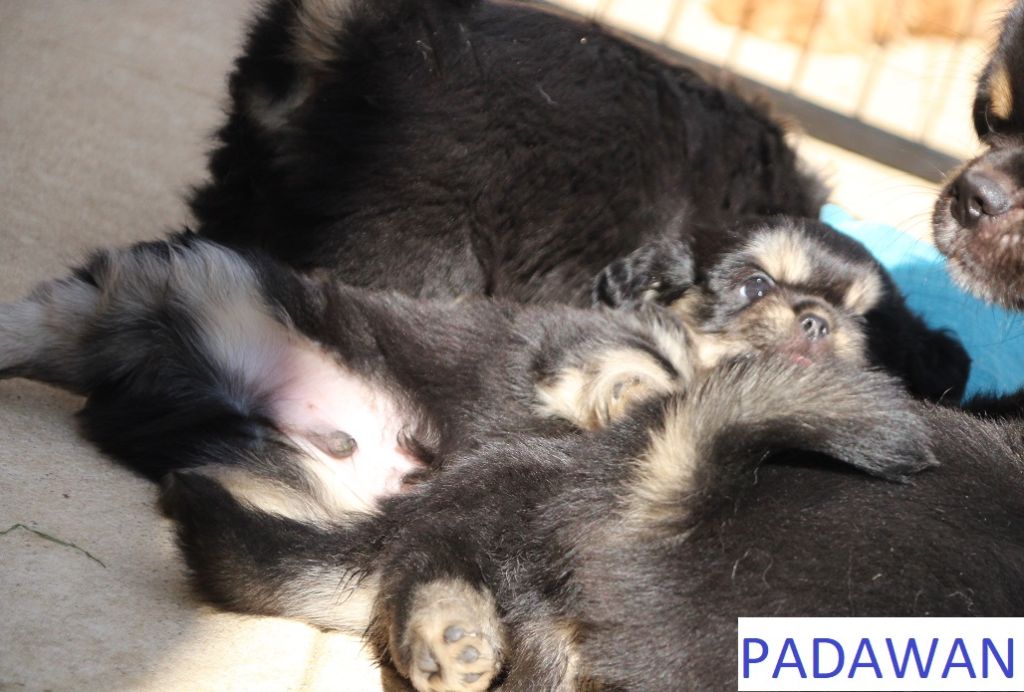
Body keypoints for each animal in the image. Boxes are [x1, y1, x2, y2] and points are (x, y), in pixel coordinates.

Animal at [5, 219, 1023, 690]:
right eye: (752, 286)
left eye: (861, 324)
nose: (812, 323)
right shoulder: (575, 338)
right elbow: (632, 354)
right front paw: (639, 390)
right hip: (204, 289)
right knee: (62, 311)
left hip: (312, 490)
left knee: (403, 570)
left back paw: (450, 633)